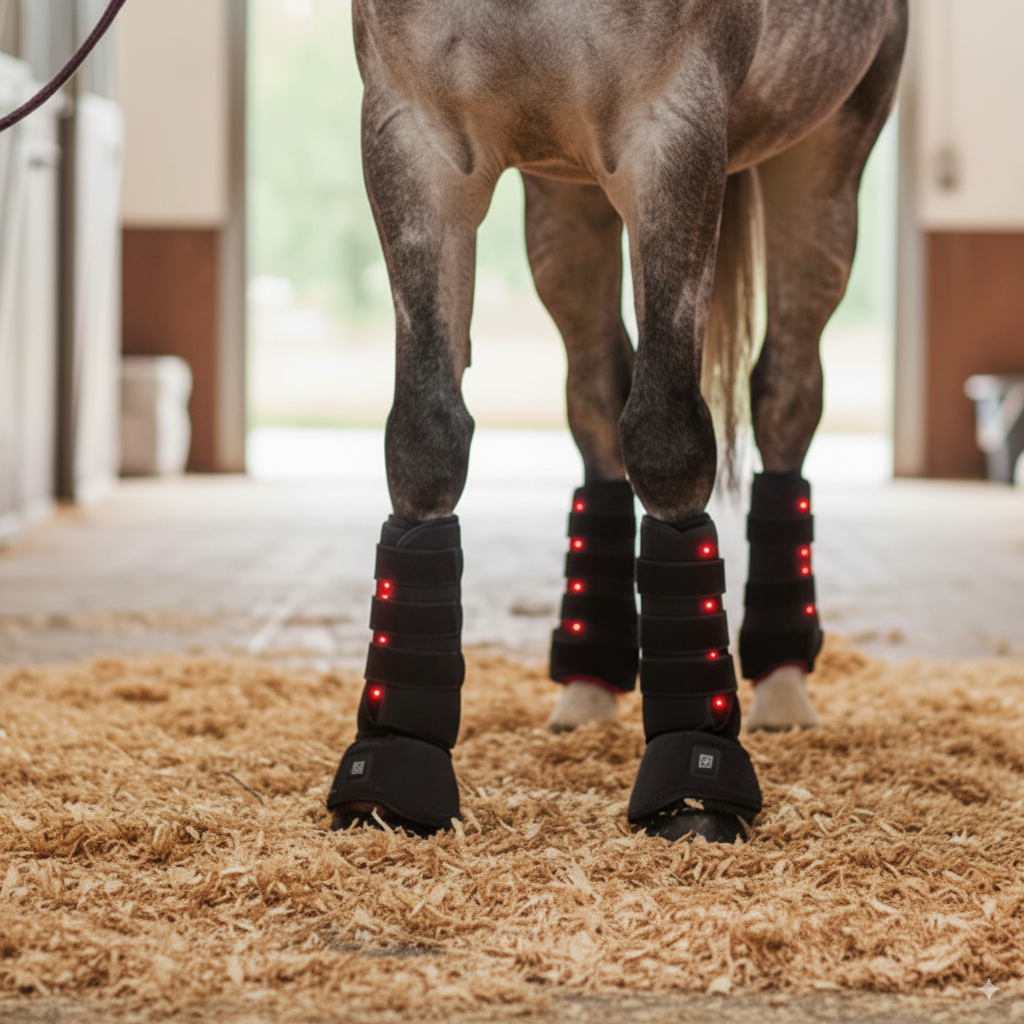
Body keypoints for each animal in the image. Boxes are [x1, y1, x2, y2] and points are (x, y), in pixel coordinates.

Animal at [325, 0, 909, 844]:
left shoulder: (673, 135)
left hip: (827, 161)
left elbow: (668, 442)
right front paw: (395, 757)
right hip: (565, 199)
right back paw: (590, 680)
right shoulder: (413, 139)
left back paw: (782, 682)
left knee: (785, 396)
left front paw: (694, 767)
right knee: (598, 393)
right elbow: (425, 439)